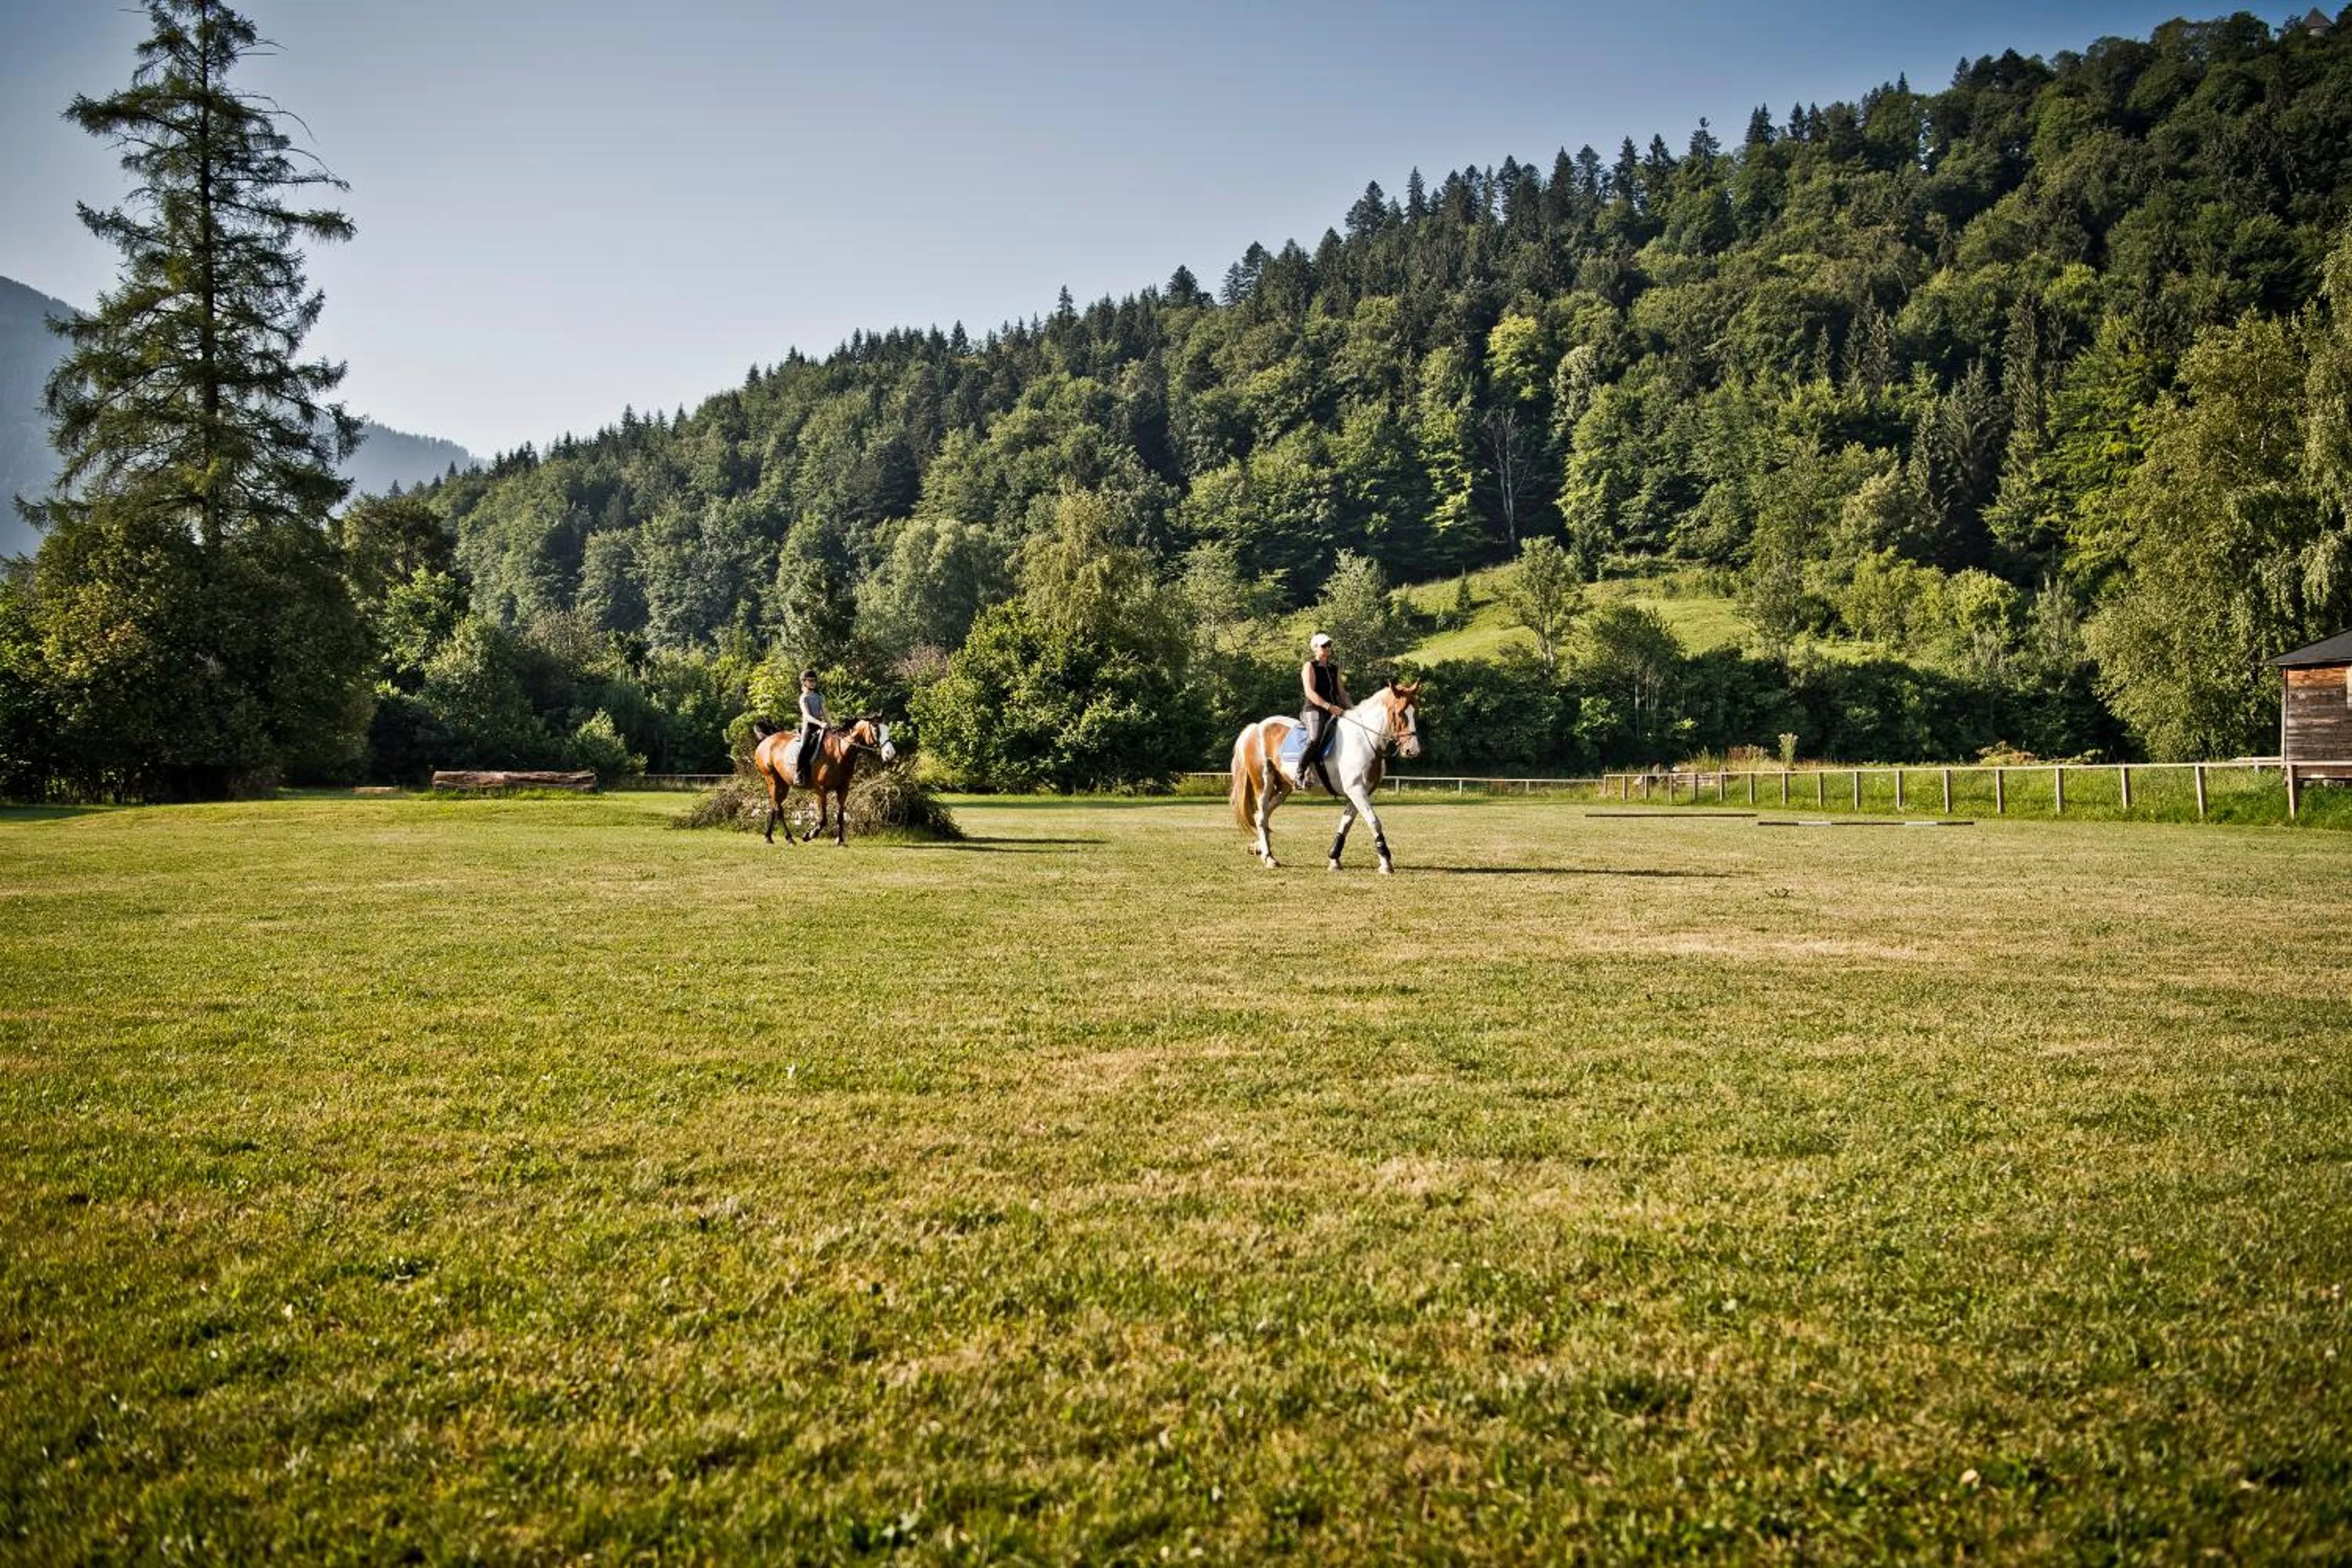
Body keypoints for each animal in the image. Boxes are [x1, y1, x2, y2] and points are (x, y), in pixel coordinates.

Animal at [750, 715, 896, 846]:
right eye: (876, 729)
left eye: (887, 729)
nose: (890, 753)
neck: (839, 753)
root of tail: (767, 740)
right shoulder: (820, 790)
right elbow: (824, 819)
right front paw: (809, 835)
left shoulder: (844, 789)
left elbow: (840, 816)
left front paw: (840, 841)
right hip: (772, 779)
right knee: (779, 809)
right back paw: (789, 839)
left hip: (783, 784)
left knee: (774, 806)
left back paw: (769, 837)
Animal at [1229, 681, 1421, 873]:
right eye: (1399, 713)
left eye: (1416, 712)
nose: (1412, 750)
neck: (1364, 740)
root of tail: (1257, 728)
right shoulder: (1356, 790)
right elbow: (1374, 822)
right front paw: (1386, 862)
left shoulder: (1358, 792)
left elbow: (1345, 824)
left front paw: (1334, 859)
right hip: (1263, 783)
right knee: (1261, 816)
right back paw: (1269, 858)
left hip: (1284, 787)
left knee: (1262, 814)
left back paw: (1260, 850)